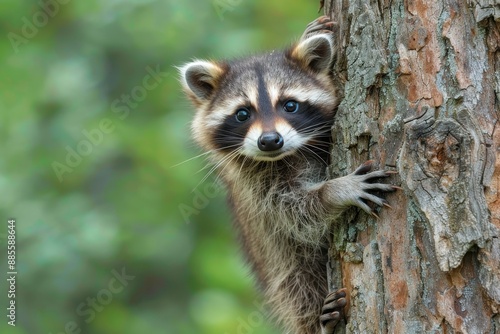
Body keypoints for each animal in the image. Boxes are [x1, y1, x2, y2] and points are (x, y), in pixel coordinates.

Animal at [179, 17, 394, 334]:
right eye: (242, 114)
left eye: (290, 105)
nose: (270, 141)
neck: (288, 155)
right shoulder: (253, 185)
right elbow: (292, 212)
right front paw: (336, 191)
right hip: (280, 268)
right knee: (297, 285)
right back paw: (318, 322)